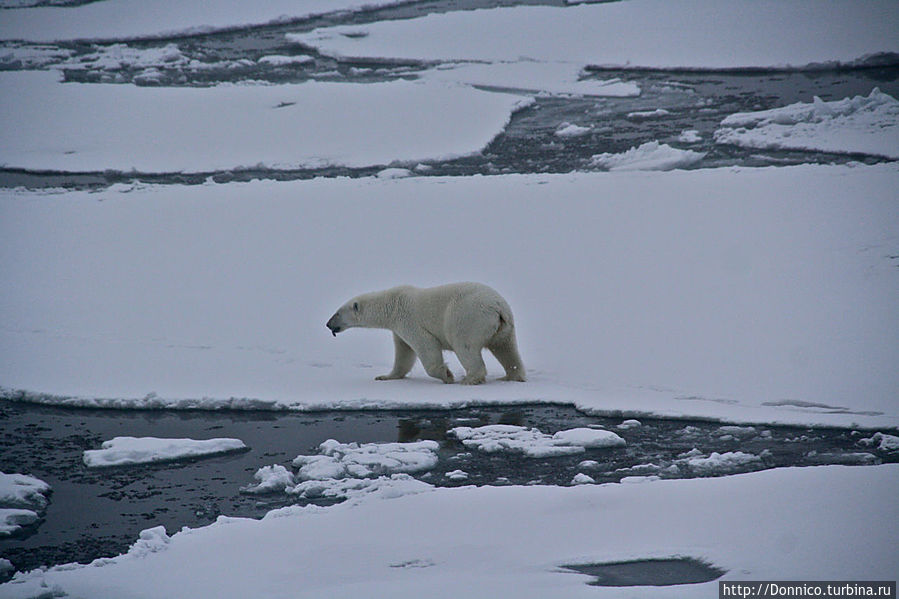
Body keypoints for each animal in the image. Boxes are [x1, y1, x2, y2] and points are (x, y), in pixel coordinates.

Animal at [326, 284, 528, 386]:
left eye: (337, 313)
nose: (328, 324)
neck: (391, 304)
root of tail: (498, 307)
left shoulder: (409, 320)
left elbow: (426, 345)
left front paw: (447, 375)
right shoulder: (398, 329)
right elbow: (403, 354)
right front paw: (385, 376)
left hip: (467, 317)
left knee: (464, 345)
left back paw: (469, 379)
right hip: (505, 327)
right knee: (506, 348)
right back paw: (512, 376)